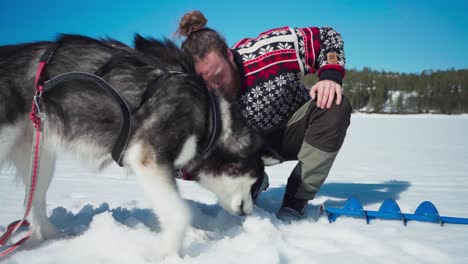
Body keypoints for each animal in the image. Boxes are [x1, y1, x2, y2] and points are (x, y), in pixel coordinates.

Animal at [0, 35, 266, 256]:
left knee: (33, 202)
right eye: (256, 182)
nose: (251, 212)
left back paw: (56, 238)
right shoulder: (148, 157)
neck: (212, 120)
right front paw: (166, 253)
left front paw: (193, 235)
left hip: (40, 158)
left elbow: (175, 207)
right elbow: (179, 213)